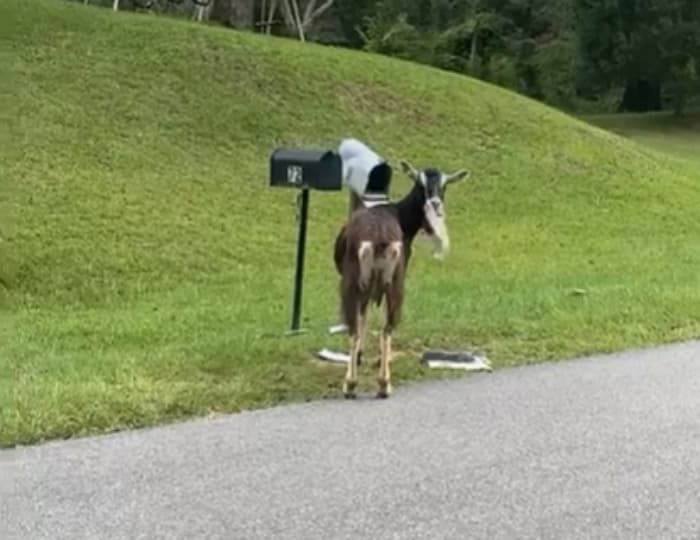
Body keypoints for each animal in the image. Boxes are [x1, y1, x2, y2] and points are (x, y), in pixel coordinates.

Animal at [334, 159, 470, 396]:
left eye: (444, 185)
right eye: (420, 183)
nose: (435, 204)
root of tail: (379, 239)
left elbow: (365, 318)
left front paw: (364, 357)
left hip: (357, 280)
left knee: (359, 327)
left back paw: (358, 384)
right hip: (389, 280)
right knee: (384, 327)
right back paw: (376, 383)